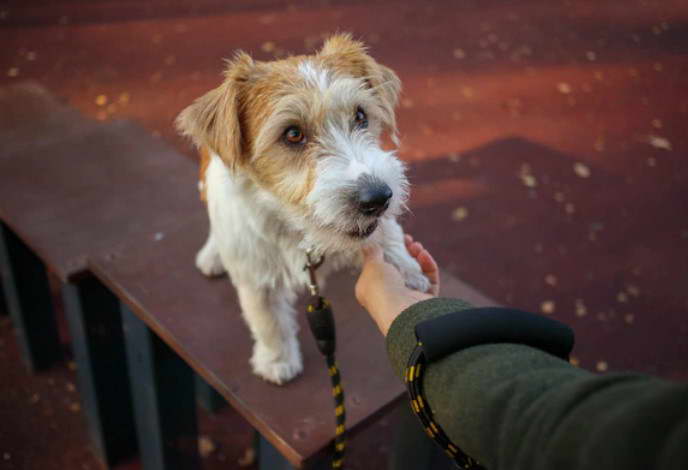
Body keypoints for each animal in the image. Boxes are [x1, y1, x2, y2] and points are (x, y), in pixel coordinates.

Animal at [176, 34, 430, 386]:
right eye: (293, 133)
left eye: (361, 116)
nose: (379, 198)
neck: (297, 228)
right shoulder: (255, 278)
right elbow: (267, 321)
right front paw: (277, 360)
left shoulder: (380, 227)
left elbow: (388, 237)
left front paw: (408, 274)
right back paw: (213, 255)